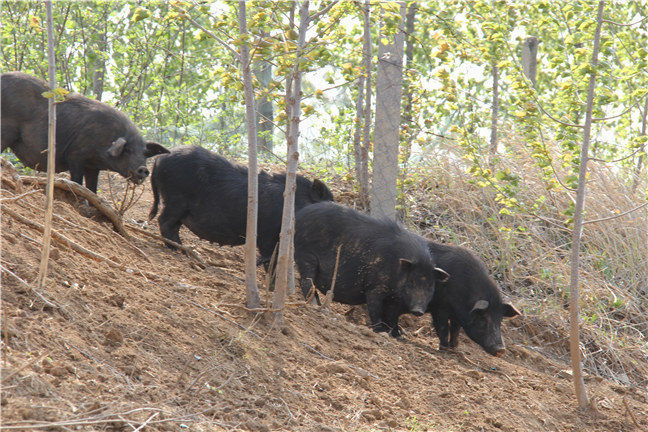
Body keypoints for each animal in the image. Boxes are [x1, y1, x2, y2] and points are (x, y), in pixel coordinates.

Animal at [0, 72, 170, 192]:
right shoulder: (76, 155)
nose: (144, 169)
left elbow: (92, 188)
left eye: (145, 153)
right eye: (127, 150)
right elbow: (77, 181)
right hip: (6, 130)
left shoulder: (93, 166)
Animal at [148, 145, 334, 262]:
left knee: (172, 226)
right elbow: (269, 259)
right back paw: (179, 251)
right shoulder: (266, 235)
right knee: (164, 221)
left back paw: (184, 251)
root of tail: (159, 159)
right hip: (176, 200)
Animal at [296, 202, 448, 338]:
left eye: (430, 285)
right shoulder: (374, 287)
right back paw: (314, 305)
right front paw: (379, 332)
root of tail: (298, 216)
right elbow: (375, 311)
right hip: (306, 256)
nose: (418, 310)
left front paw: (397, 336)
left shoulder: (394, 300)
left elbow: (392, 317)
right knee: (306, 281)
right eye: (411, 281)